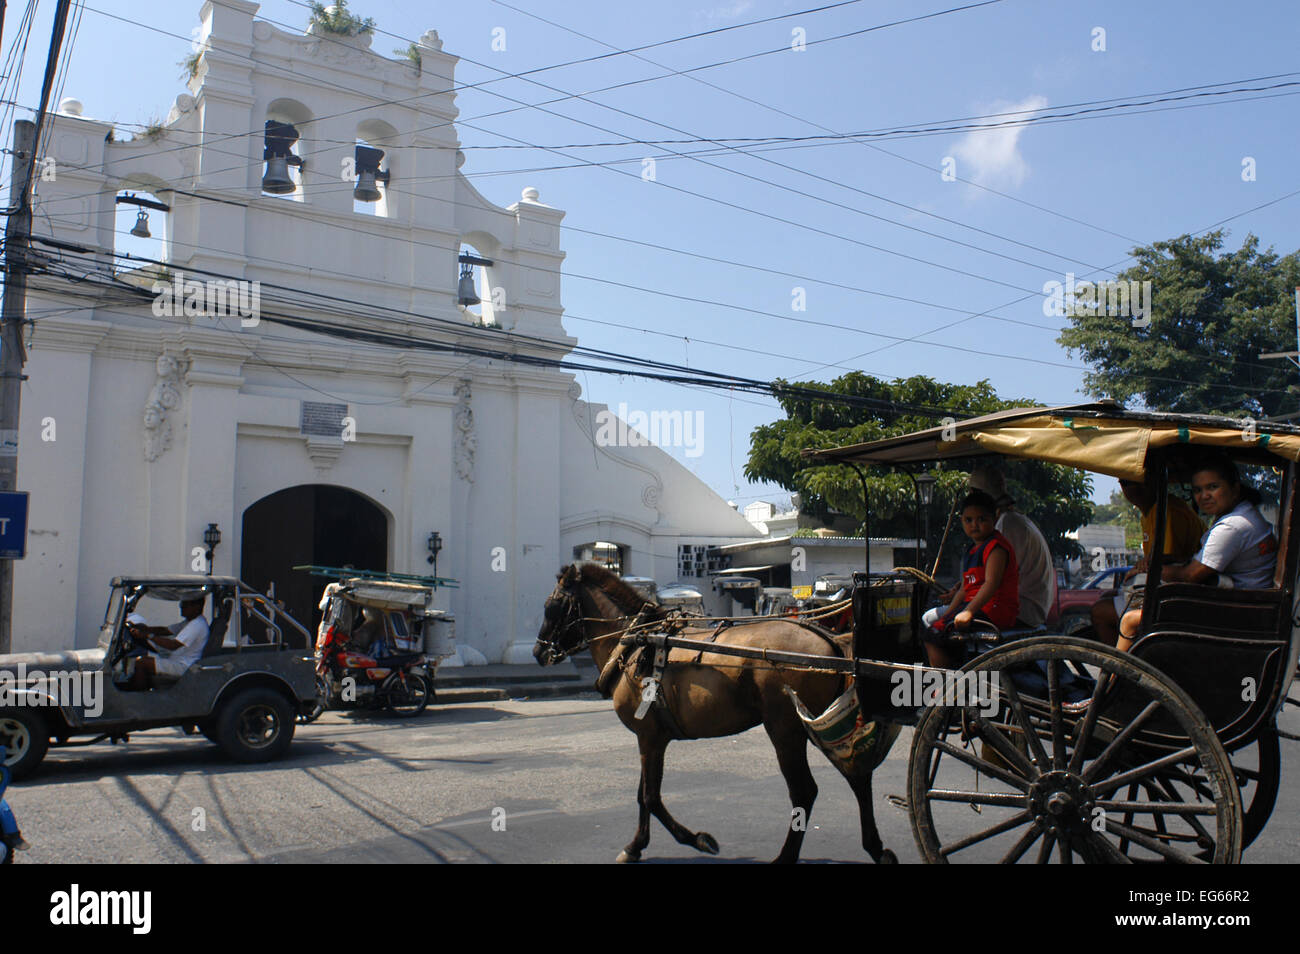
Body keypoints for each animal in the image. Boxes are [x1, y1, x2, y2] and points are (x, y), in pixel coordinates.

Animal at [530, 564, 894, 868]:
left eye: (552, 606)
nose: (538, 652)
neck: (635, 641)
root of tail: (827, 638)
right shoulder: (652, 737)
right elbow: (643, 795)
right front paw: (640, 845)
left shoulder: (649, 736)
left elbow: (650, 796)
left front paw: (690, 840)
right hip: (818, 722)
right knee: (857, 776)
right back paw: (876, 847)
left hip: (786, 729)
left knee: (805, 790)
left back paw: (787, 856)